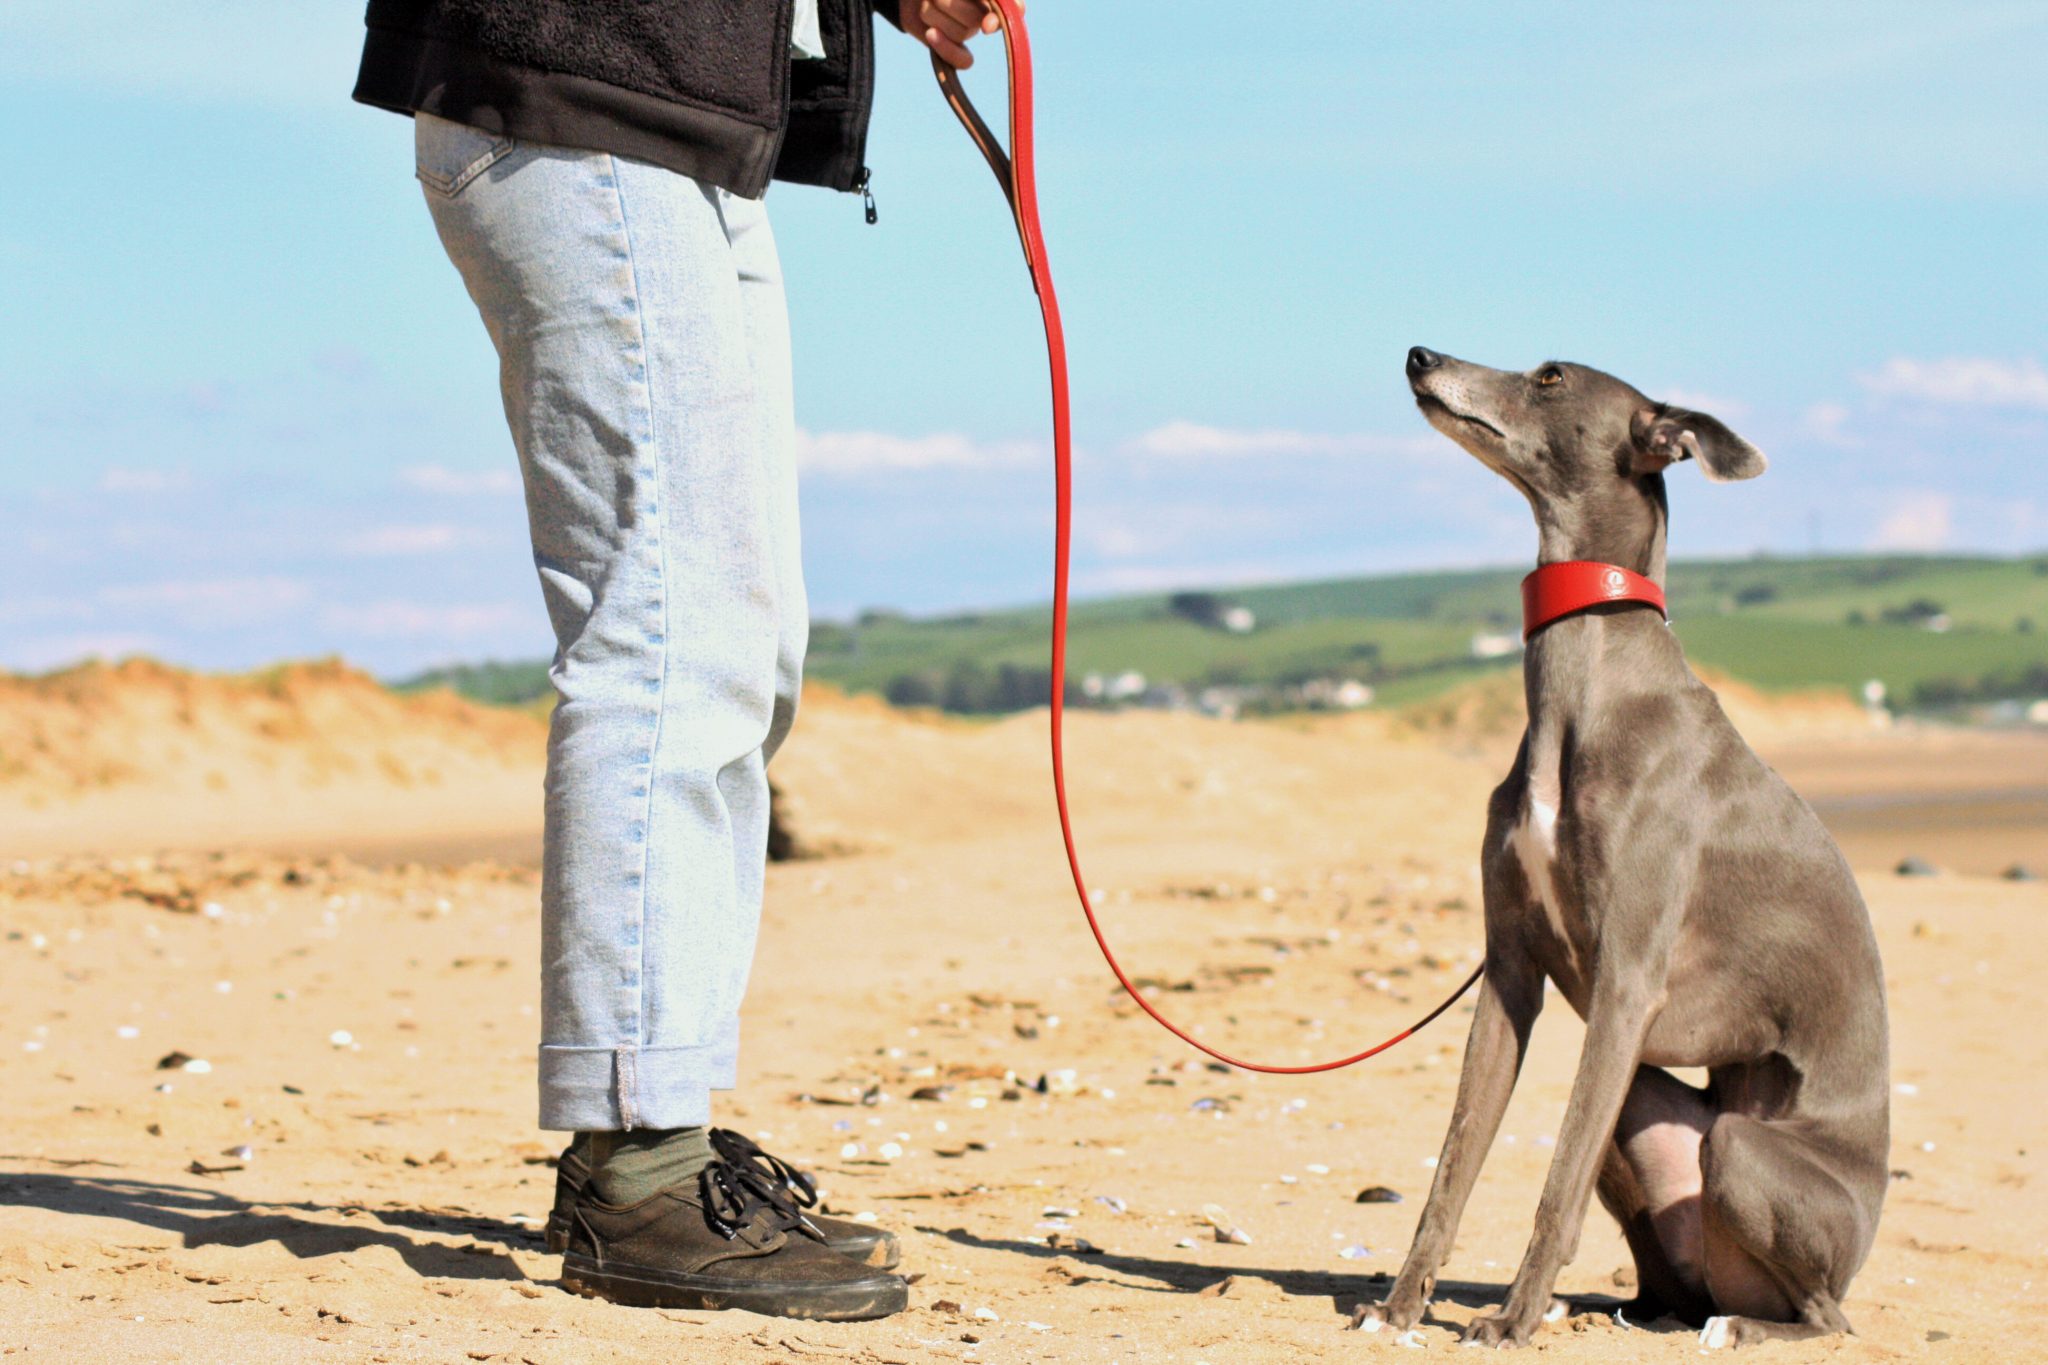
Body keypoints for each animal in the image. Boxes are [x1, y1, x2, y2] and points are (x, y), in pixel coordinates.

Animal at [1359, 347, 1884, 1350]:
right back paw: (1639, 1307)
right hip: (1645, 1102)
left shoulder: (1628, 983)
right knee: (1673, 1271)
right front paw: (1401, 1304)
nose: (1419, 356)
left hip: (1743, 1147)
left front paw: (1510, 1320)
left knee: (1829, 1315)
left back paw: (1745, 1329)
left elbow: (1555, 1178)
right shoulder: (1509, 974)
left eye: (1550, 376)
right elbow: (1453, 1163)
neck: (1584, 693)